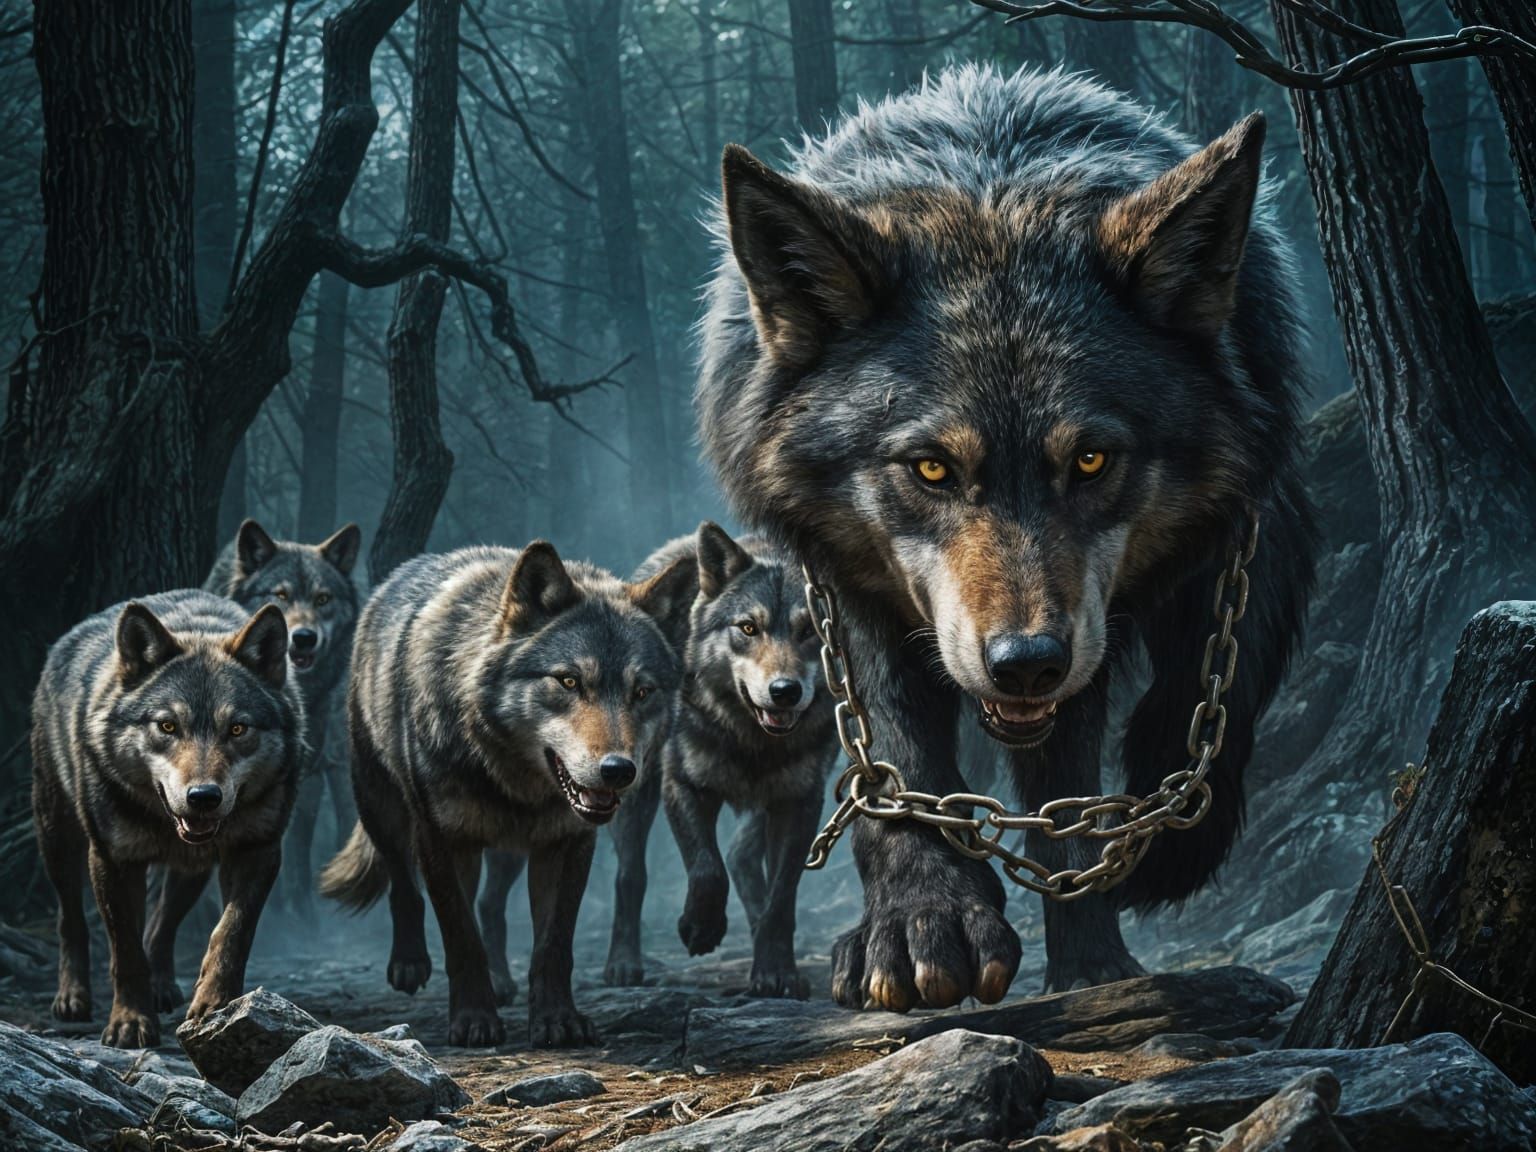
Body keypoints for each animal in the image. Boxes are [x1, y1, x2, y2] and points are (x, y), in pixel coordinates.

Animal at [32, 590, 302, 1047]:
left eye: (237, 728)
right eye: (168, 726)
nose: (203, 797)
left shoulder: (259, 850)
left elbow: (231, 934)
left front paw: (216, 1005)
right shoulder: (113, 859)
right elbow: (125, 949)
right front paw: (129, 1022)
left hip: (191, 871)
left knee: (161, 925)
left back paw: (161, 986)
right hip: (57, 838)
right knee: (71, 919)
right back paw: (72, 997)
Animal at [319, 542, 693, 1047]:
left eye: (642, 691)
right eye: (569, 681)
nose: (618, 771)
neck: (510, 777)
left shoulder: (566, 843)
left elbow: (553, 944)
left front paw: (557, 1020)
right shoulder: (443, 842)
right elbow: (461, 936)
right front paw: (474, 1020)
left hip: (510, 849)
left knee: (491, 905)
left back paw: (502, 981)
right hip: (382, 806)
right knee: (403, 881)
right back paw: (410, 963)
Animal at [696, 66, 1314, 1006]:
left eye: (1091, 460)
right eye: (931, 469)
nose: (1026, 664)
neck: (993, 190)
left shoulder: (1256, 520)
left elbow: (1214, 686)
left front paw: (1129, 902)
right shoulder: (842, 592)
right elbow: (896, 755)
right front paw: (923, 917)